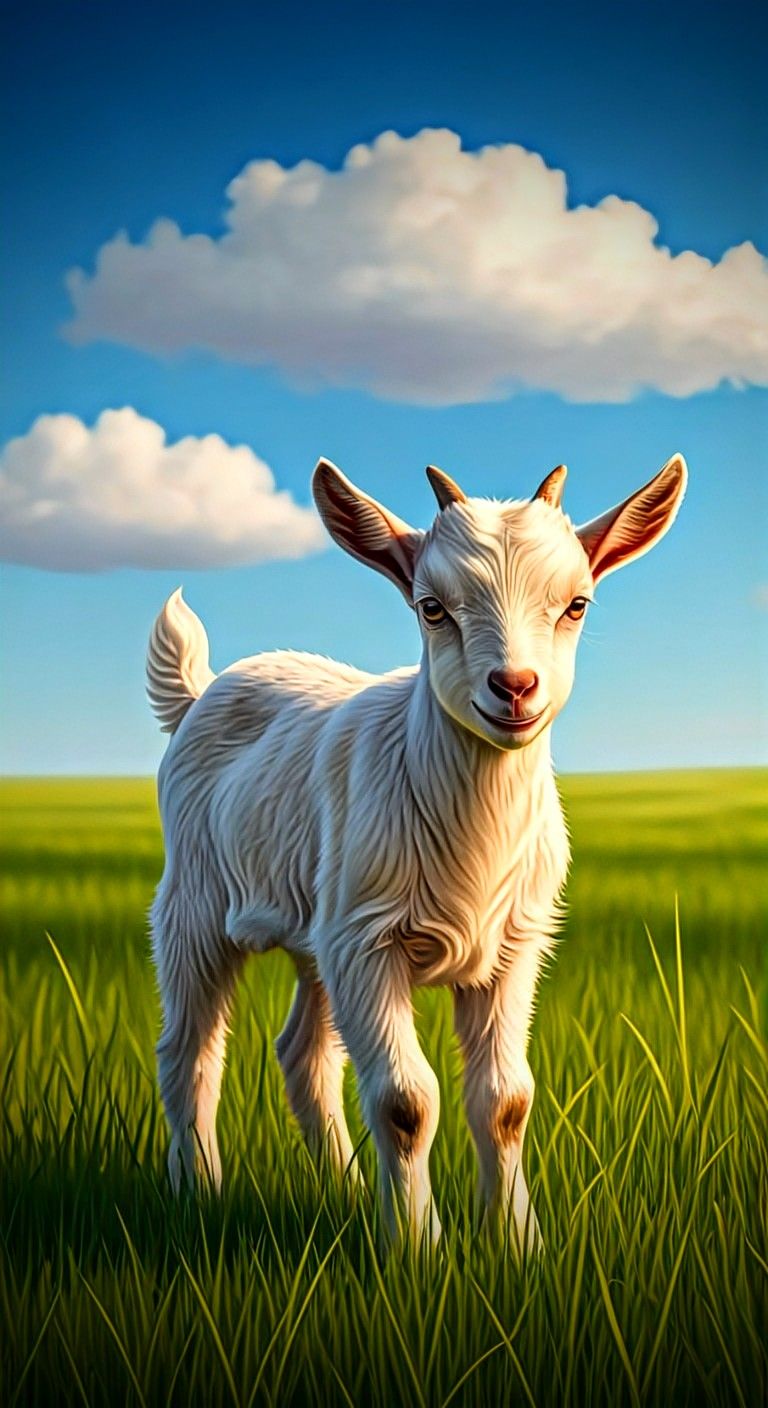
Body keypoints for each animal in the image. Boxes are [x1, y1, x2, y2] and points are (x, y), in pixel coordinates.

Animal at [147, 454, 687, 1247]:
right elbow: (406, 1101)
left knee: (304, 1054)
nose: (514, 687)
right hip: (195, 904)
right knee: (190, 1050)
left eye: (576, 605)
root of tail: (202, 691)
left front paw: (516, 1243)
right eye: (432, 608)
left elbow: (506, 1099)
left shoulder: (511, 947)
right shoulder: (370, 946)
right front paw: (416, 1248)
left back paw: (340, 1189)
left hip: (318, 935)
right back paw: (198, 1191)